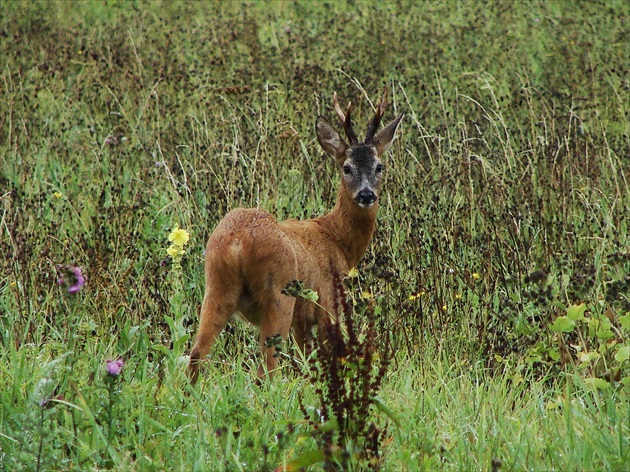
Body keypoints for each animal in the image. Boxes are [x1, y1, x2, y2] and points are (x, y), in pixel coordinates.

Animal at [189, 87, 404, 384]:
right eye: (347, 168)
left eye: (379, 166)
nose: (366, 194)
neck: (338, 240)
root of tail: (237, 241)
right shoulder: (329, 305)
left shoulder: (302, 322)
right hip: (279, 295)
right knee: (267, 368)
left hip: (216, 286)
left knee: (196, 352)